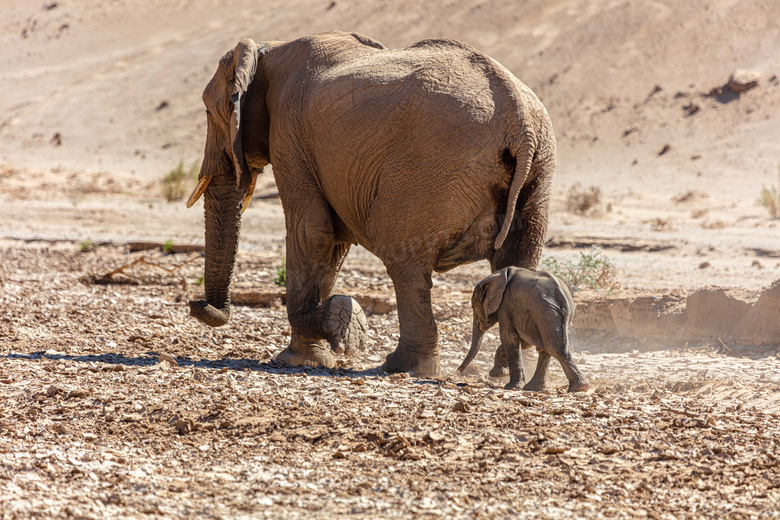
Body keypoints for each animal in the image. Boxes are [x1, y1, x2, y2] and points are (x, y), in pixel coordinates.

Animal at [187, 30, 556, 376]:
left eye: (208, 111)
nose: (195, 304)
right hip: (539, 170)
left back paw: (401, 366)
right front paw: (318, 350)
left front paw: (329, 336)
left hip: (431, 169)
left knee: (403, 260)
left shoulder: (289, 135)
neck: (270, 49)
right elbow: (333, 243)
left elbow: (312, 232)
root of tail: (520, 121)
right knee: (518, 258)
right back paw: (507, 369)